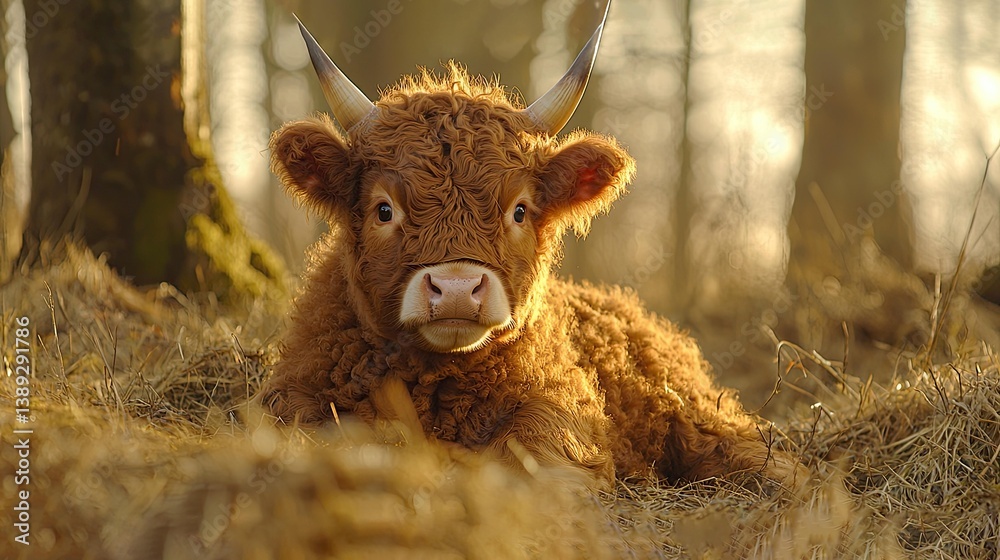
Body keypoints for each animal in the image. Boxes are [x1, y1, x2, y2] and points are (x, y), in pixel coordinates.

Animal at [262, 5, 802, 490]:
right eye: (383, 210)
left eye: (520, 210)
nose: (456, 289)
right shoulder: (295, 395)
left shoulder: (560, 410)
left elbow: (538, 456)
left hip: (699, 416)